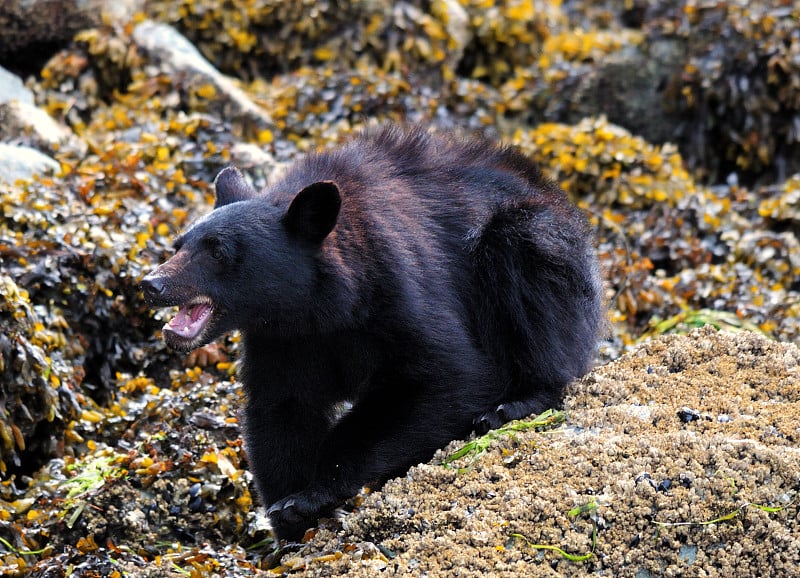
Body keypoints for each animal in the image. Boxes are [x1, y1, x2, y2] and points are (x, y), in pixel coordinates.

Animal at [141, 124, 604, 536]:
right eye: (179, 244)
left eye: (218, 252)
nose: (152, 283)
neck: (316, 308)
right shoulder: (280, 341)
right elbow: (281, 408)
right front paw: (287, 522)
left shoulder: (400, 291)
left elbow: (447, 376)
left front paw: (311, 495)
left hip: (535, 245)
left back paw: (515, 403)